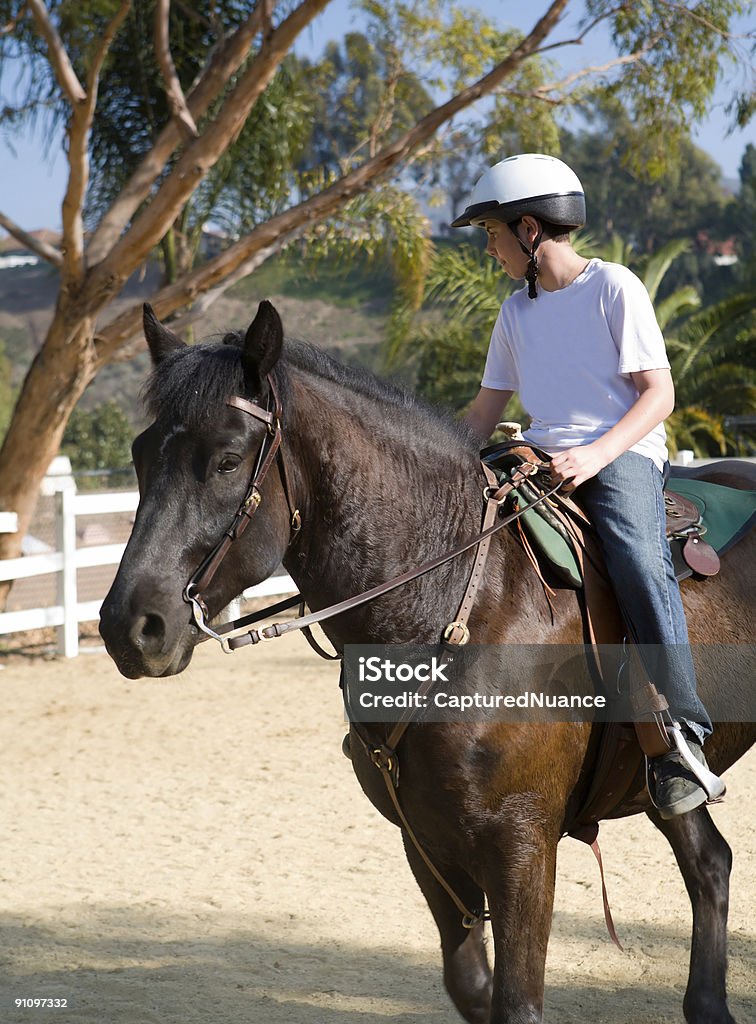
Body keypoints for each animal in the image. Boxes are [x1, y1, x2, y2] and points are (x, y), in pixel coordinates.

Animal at [100, 299, 753, 1024]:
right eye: (140, 455)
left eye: (226, 459)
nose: (130, 625)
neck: (456, 601)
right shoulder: (428, 845)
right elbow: (471, 986)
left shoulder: (524, 849)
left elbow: (517, 1003)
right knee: (710, 865)